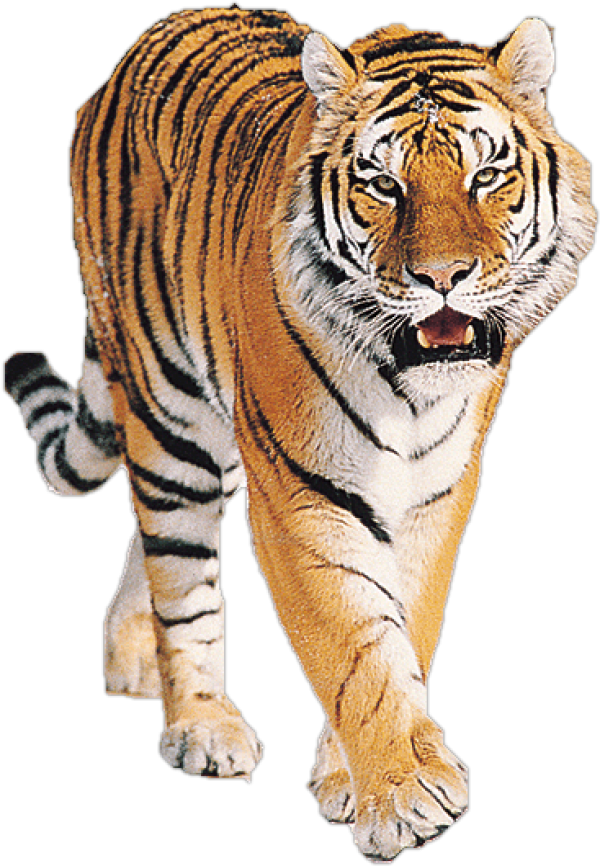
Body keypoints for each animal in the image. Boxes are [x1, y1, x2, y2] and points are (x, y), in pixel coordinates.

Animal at [4, 7, 595, 861]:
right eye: (384, 184)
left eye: (486, 176)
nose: (442, 278)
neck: (409, 389)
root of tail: (146, 39)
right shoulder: (302, 491)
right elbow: (350, 638)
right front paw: (400, 795)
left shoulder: (437, 491)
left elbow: (405, 626)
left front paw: (354, 776)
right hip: (172, 413)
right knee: (177, 561)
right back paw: (200, 723)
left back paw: (133, 657)